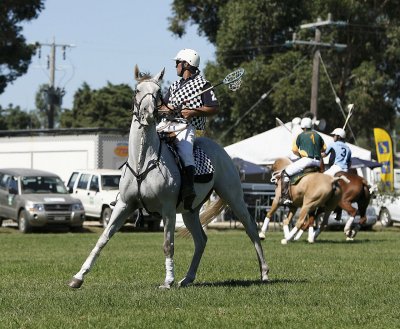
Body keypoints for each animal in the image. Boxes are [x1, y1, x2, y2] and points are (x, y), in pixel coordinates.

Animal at [68, 65, 268, 288]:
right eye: (137, 90)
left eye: (157, 92)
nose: (148, 114)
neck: (143, 160)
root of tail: (220, 149)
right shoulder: (124, 205)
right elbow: (103, 238)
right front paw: (78, 277)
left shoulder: (168, 209)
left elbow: (168, 244)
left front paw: (168, 280)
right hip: (190, 211)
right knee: (201, 240)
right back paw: (188, 278)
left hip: (233, 197)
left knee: (251, 228)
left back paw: (264, 273)